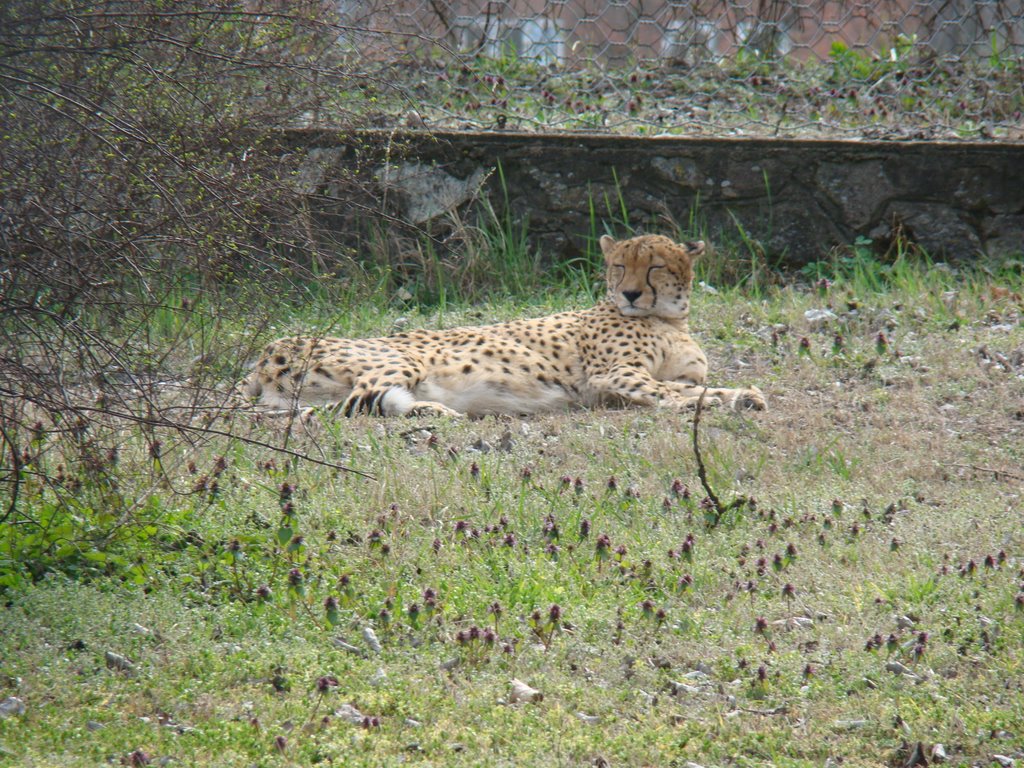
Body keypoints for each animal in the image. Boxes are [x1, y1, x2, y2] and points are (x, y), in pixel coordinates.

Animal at [239, 234, 765, 417]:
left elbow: (695, 385)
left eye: (654, 266)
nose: (631, 293)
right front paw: (726, 399)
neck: (669, 317)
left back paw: (434, 413)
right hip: (399, 360)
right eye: (619, 266)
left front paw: (740, 395)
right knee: (344, 409)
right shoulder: (614, 377)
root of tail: (266, 354)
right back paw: (433, 414)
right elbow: (675, 391)